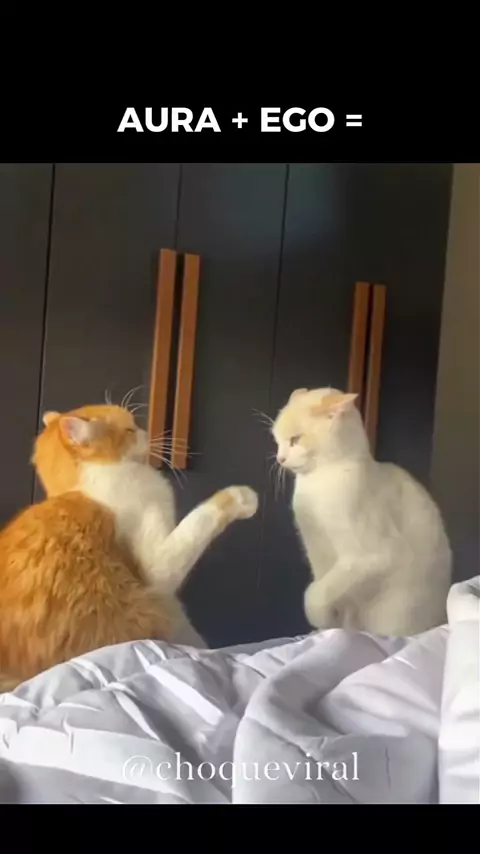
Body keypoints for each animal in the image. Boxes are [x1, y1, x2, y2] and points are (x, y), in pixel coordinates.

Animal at [0, 404, 258, 691]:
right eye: (130, 429)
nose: (145, 431)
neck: (90, 486)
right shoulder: (157, 566)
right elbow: (199, 520)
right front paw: (242, 497)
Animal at [271, 387, 452, 636]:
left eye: (295, 439)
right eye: (276, 440)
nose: (280, 458)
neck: (320, 481)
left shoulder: (371, 556)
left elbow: (317, 594)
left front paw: (321, 618)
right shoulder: (317, 554)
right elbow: (329, 593)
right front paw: (328, 629)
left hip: (393, 613)